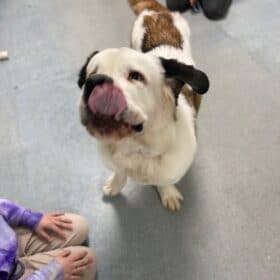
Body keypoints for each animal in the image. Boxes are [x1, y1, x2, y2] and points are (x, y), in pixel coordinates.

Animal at [77, 0, 209, 210]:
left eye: (136, 76)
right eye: (92, 73)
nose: (95, 81)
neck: (136, 148)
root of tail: (157, 11)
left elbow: (165, 181)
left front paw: (168, 192)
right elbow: (120, 173)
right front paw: (115, 184)